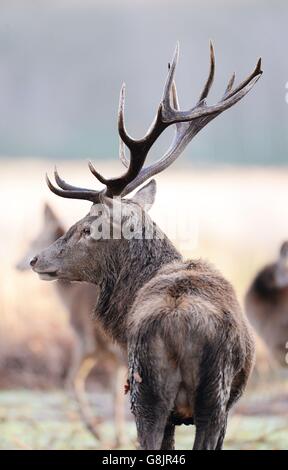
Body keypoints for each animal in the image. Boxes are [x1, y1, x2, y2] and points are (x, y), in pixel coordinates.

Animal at [16, 203, 127, 444]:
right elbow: (116, 395)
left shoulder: (86, 342)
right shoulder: (113, 358)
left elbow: (71, 382)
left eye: (34, 240)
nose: (20, 264)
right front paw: (118, 440)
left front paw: (96, 431)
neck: (70, 298)